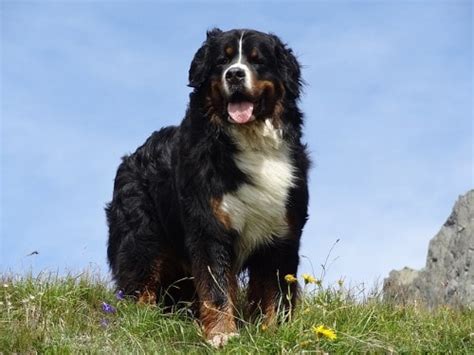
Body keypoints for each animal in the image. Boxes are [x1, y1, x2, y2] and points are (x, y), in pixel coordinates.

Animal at [105, 28, 310, 348]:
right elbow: (216, 288)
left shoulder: (282, 234)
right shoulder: (209, 227)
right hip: (141, 238)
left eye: (258, 60)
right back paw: (143, 320)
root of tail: (131, 157)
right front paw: (222, 333)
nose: (235, 74)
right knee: (141, 280)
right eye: (222, 61)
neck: (252, 144)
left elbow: (275, 292)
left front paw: (274, 332)